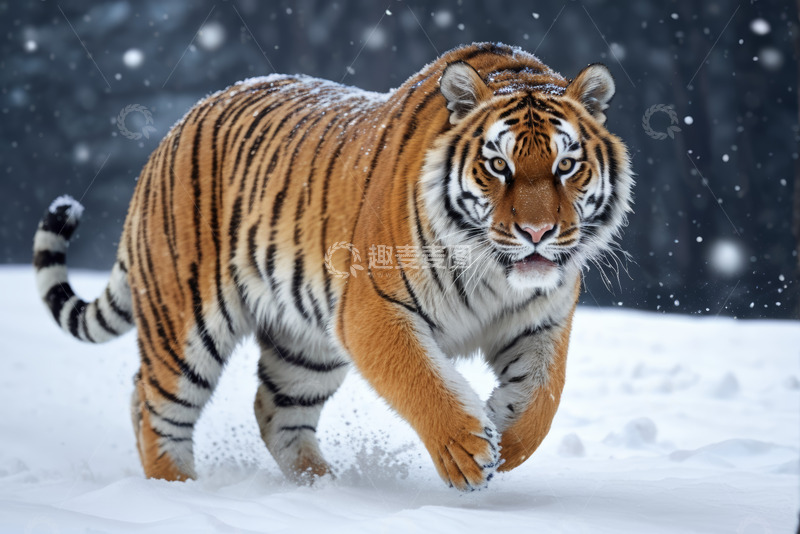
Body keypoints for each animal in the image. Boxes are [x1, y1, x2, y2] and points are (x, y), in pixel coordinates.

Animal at [33, 42, 632, 491]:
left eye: (566, 166)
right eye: (498, 166)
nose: (538, 233)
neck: (494, 274)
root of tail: (173, 129)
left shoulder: (542, 321)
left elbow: (543, 399)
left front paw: (504, 438)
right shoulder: (373, 307)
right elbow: (422, 380)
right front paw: (466, 451)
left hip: (305, 345)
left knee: (274, 410)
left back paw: (323, 487)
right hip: (183, 321)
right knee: (153, 404)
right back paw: (177, 489)